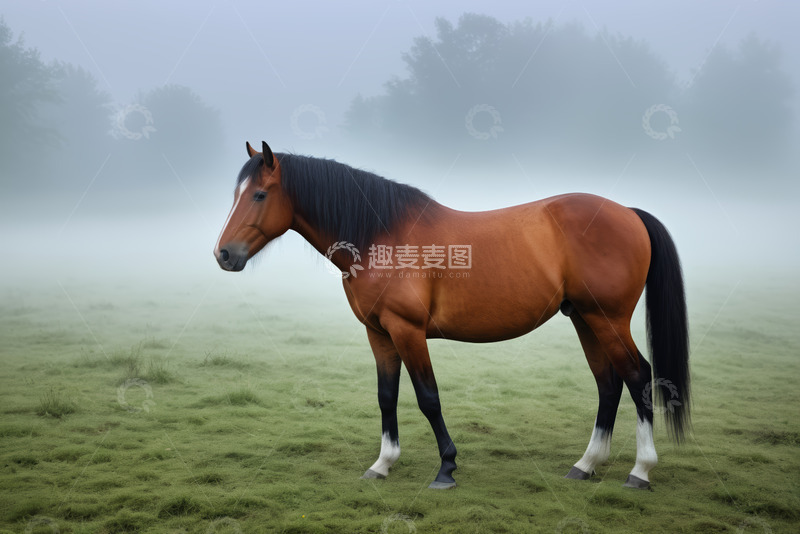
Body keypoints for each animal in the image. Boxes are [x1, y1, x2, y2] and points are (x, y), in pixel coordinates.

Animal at [214, 141, 690, 490]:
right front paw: (383, 464)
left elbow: (428, 397)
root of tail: (628, 213)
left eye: (259, 194)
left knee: (637, 375)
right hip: (583, 318)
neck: (380, 235)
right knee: (608, 383)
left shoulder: (407, 331)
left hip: (607, 318)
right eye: (235, 195)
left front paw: (446, 467)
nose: (223, 255)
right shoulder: (378, 333)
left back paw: (640, 470)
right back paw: (586, 464)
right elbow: (387, 396)